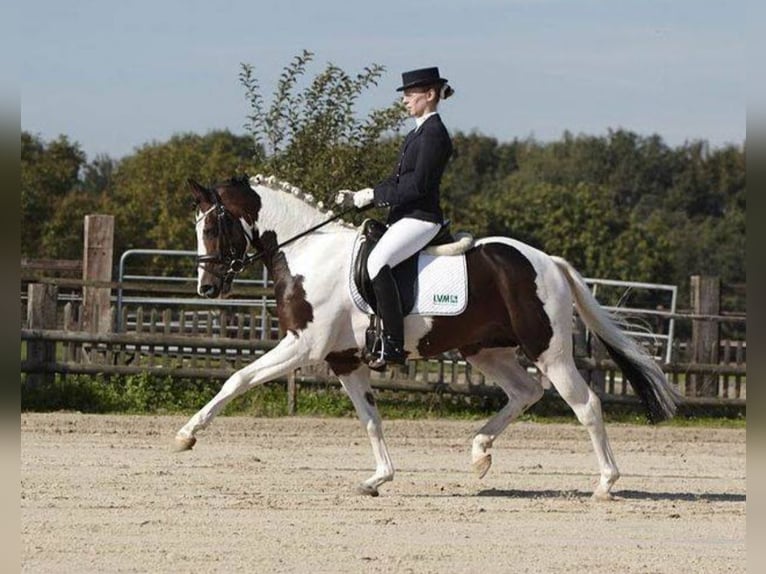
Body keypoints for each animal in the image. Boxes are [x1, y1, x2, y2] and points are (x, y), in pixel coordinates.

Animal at [176, 173, 684, 502]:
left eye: (212, 226)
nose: (207, 288)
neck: (306, 251)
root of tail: (548, 262)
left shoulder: (303, 345)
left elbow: (238, 379)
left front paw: (186, 435)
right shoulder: (345, 359)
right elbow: (371, 419)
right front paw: (378, 479)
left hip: (549, 349)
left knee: (586, 405)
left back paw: (605, 484)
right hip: (484, 351)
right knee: (525, 392)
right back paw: (480, 454)